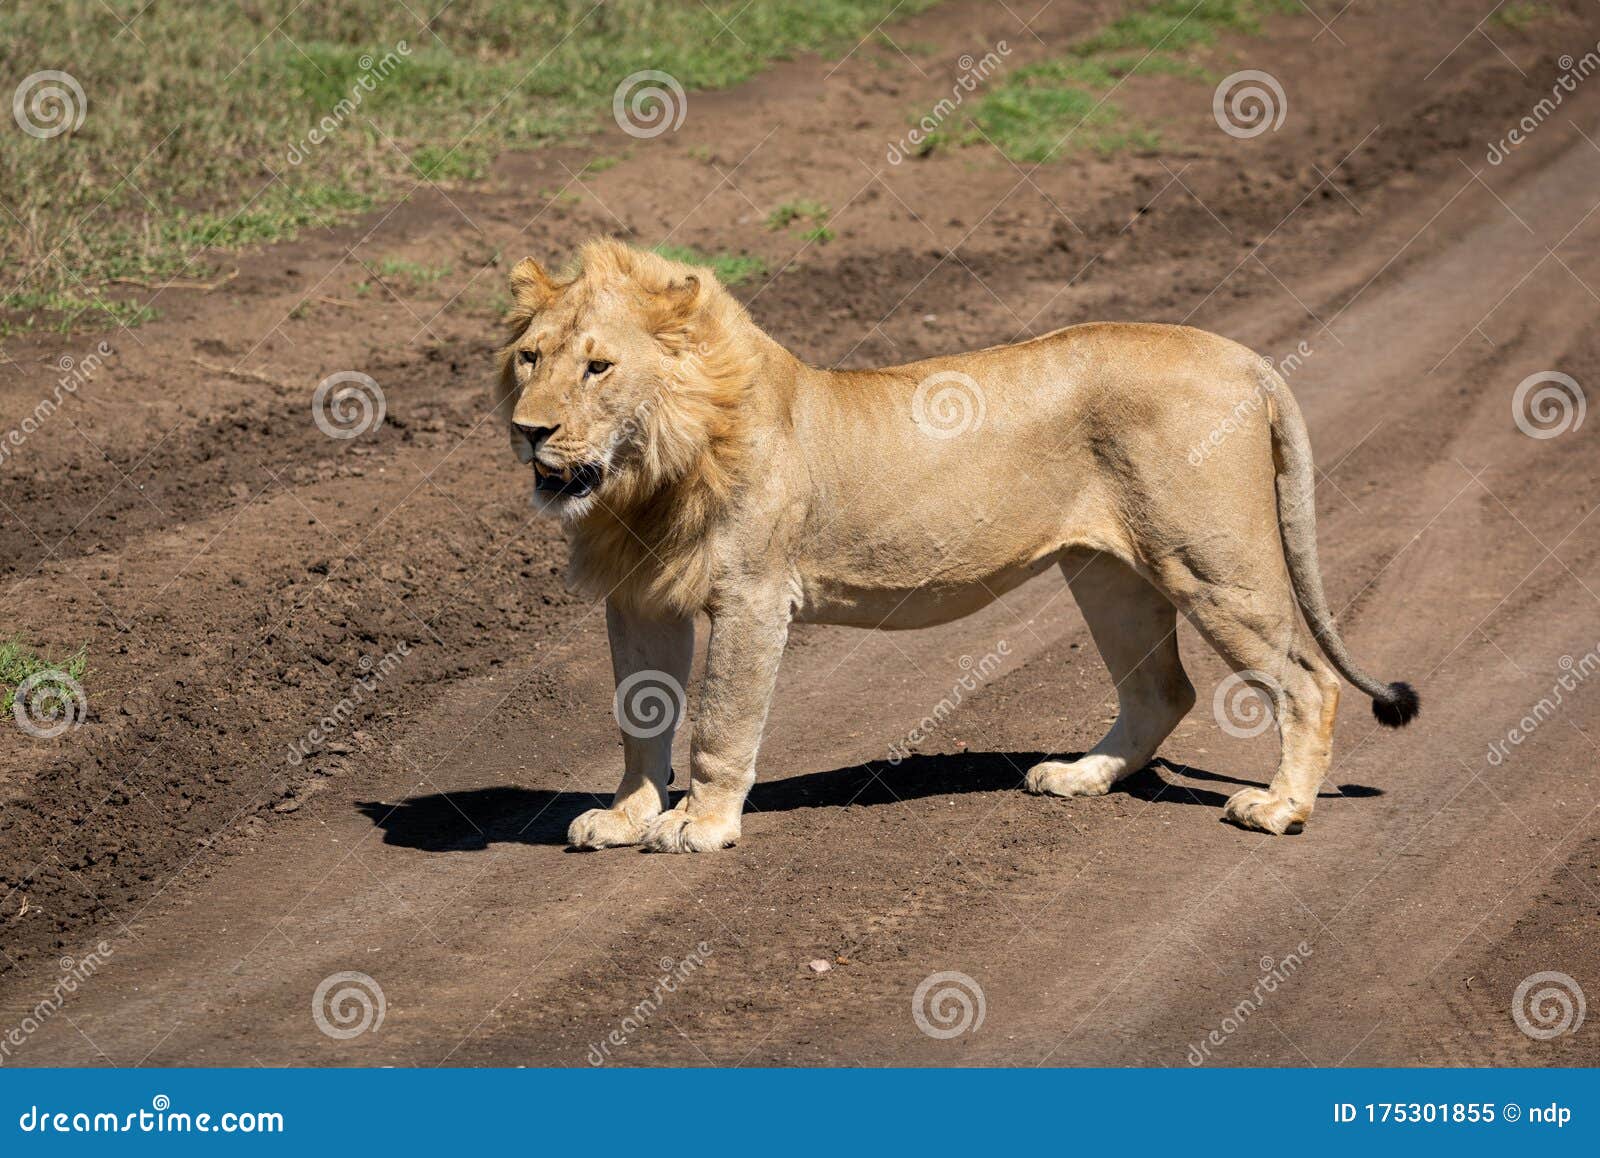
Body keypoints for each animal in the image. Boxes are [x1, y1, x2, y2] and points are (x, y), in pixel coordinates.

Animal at [494, 239, 1417, 852]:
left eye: (598, 368)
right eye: (530, 358)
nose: (527, 431)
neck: (642, 477)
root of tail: (1242, 357)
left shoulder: (751, 595)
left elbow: (721, 721)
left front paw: (700, 825)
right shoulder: (638, 600)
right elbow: (639, 718)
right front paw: (627, 815)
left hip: (1212, 564)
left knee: (1308, 682)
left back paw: (1281, 809)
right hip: (1109, 574)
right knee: (1162, 690)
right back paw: (1078, 777)